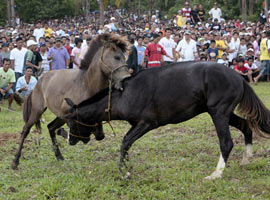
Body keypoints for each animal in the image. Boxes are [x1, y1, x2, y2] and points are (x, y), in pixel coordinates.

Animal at [11, 33, 131, 170]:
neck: (86, 85)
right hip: (38, 110)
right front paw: (69, 135)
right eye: (117, 57)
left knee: (50, 127)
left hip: (58, 116)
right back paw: (15, 161)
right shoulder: (68, 112)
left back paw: (59, 156)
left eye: (124, 57)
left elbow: (99, 135)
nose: (126, 78)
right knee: (26, 129)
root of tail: (39, 81)